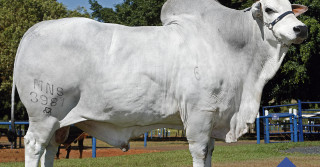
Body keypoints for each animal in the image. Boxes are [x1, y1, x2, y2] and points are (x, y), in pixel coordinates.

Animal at [11, 0, 308, 166]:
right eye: (269, 9)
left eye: (291, 8)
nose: (301, 28)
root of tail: (34, 29)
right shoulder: (199, 114)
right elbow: (200, 152)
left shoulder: (213, 117)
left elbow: (210, 153)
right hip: (44, 113)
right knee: (34, 146)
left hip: (59, 122)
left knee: (51, 149)